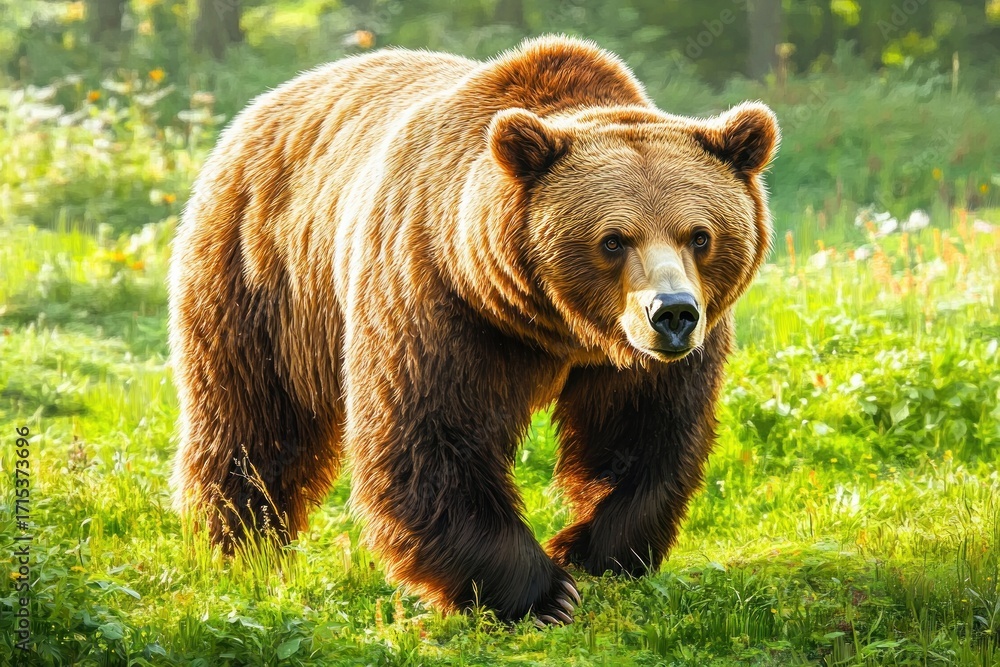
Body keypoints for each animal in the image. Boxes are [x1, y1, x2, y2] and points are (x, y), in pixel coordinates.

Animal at [169, 35, 779, 625]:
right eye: (612, 239)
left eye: (699, 235)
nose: (671, 313)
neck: (558, 328)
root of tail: (262, 106)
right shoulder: (440, 299)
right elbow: (432, 438)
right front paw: (543, 595)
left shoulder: (646, 355)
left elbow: (641, 432)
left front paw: (594, 555)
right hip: (260, 277)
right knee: (251, 422)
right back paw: (244, 547)